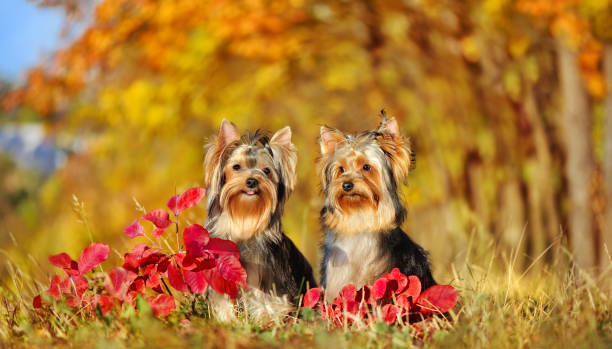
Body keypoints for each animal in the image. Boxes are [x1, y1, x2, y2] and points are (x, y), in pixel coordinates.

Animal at [203, 119, 316, 320]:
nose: (252, 181)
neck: (245, 217)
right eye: (236, 167)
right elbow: (223, 302)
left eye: (266, 171)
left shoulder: (266, 278)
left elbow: (265, 302)